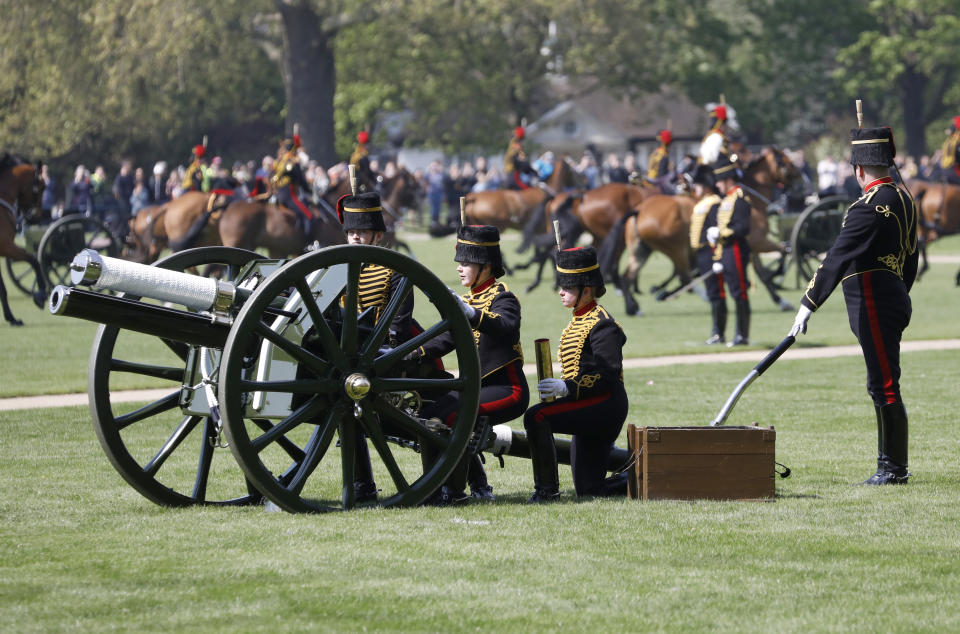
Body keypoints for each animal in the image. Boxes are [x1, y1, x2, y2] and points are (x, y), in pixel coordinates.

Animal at [0, 151, 47, 324]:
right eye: (42, 186)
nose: (38, 215)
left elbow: (2, 288)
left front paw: (11, 318)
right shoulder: (7, 247)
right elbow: (33, 260)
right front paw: (41, 295)